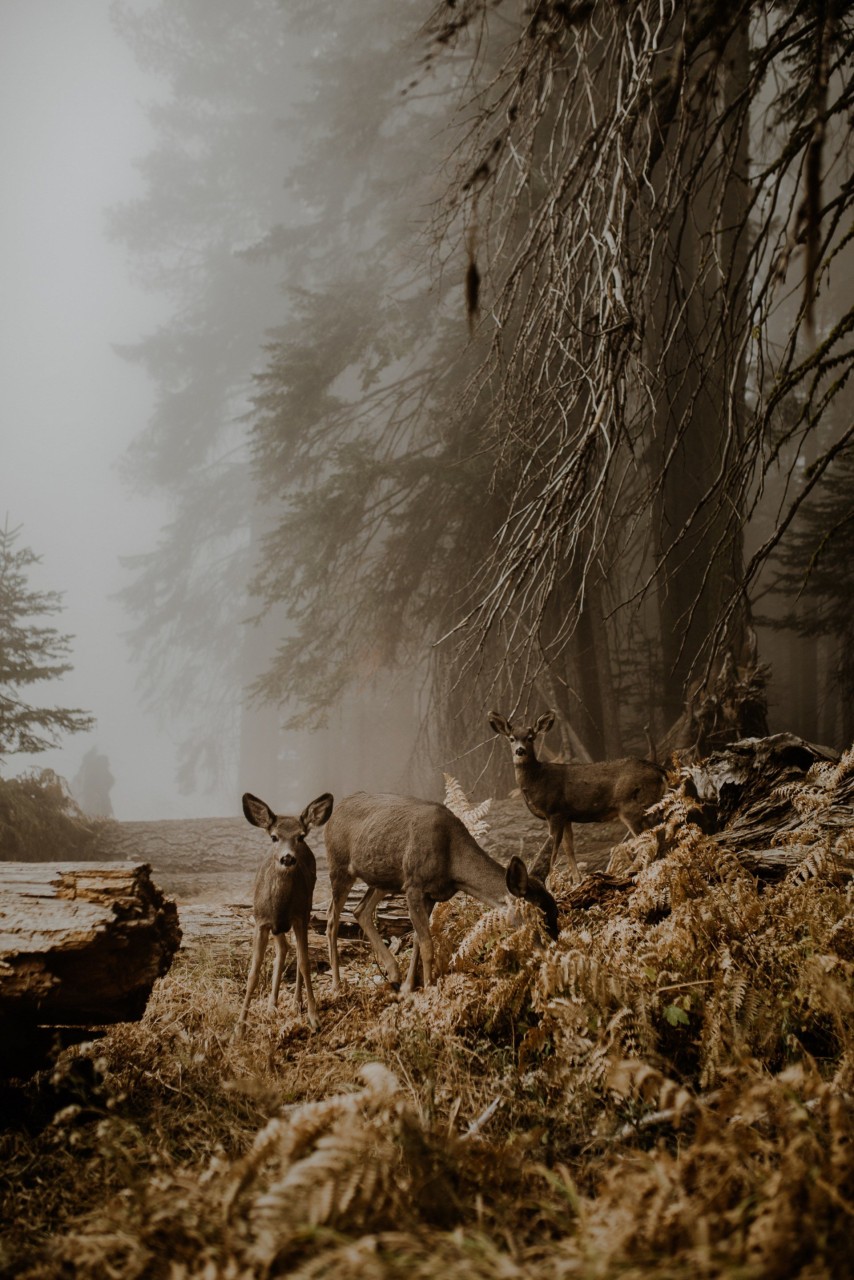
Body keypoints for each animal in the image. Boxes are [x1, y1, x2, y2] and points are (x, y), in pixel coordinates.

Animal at [239, 788, 335, 1039]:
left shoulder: (299, 917)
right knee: (282, 949)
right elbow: (253, 972)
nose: (288, 857)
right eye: (274, 837)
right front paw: (239, 1027)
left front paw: (314, 1018)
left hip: (307, 907)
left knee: (293, 952)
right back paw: (272, 1005)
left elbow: (304, 962)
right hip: (276, 926)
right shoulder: (261, 921)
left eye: (300, 836)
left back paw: (295, 1002)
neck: (279, 905)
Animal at [322, 788, 560, 998]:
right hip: (339, 865)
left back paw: (394, 974)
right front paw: (428, 988)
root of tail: (333, 815)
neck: (453, 867)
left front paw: (408, 987)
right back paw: (336, 985)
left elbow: (418, 939)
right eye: (534, 916)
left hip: (383, 879)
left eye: (556, 911)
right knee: (332, 917)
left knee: (360, 910)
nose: (554, 951)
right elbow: (427, 943)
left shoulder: (432, 894)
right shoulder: (414, 884)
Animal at [486, 706, 665, 885]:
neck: (536, 780)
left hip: (632, 806)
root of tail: (660, 771)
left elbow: (552, 850)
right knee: (660, 831)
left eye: (530, 738)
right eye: (511, 739)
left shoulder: (554, 811)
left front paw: (549, 883)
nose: (520, 750)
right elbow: (568, 848)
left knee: (647, 838)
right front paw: (577, 880)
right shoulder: (566, 815)